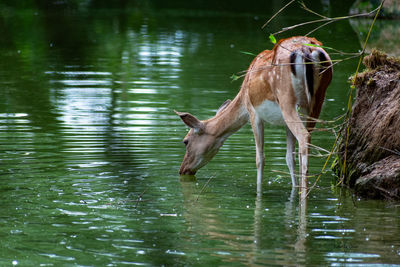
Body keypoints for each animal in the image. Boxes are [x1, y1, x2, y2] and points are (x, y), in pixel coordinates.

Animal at [174, 36, 332, 198]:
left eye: (186, 141)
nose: (182, 170)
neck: (243, 97)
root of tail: (308, 50)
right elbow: (289, 157)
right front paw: (293, 189)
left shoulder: (253, 112)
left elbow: (259, 158)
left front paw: (259, 192)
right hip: (316, 101)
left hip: (286, 99)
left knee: (304, 137)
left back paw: (304, 196)